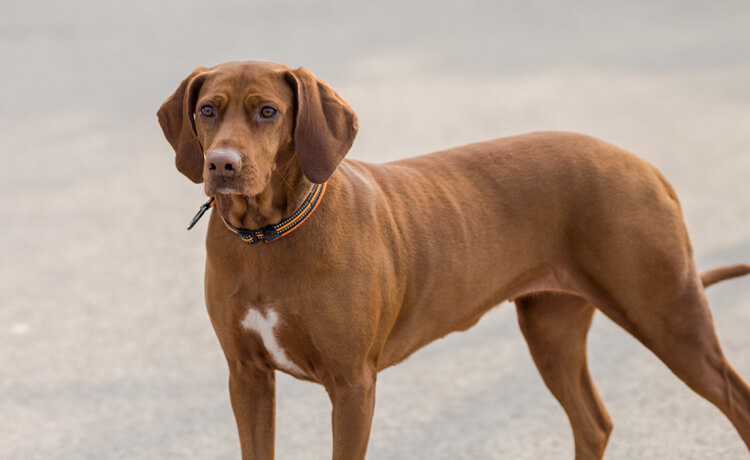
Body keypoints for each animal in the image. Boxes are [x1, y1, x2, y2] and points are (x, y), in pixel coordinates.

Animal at [156, 59, 748, 458]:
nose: (222, 165)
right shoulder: (247, 377)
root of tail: (645, 166)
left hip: (667, 315)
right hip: (551, 327)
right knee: (593, 423)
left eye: (268, 112)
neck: (267, 236)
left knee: (735, 400)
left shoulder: (352, 384)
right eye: (207, 110)